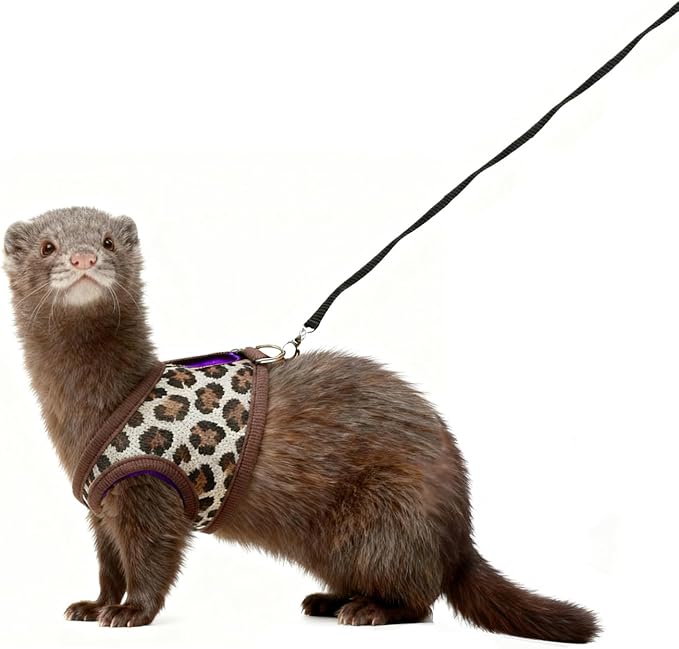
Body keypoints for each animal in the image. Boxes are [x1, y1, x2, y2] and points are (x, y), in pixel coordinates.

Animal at [3, 206, 599, 641]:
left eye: (107, 242)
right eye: (47, 246)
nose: (82, 257)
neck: (94, 412)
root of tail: (459, 529)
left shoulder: (150, 491)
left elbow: (152, 559)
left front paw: (129, 614)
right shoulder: (101, 502)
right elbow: (109, 565)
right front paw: (91, 605)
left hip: (387, 515)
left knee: (420, 598)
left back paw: (366, 610)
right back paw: (327, 599)